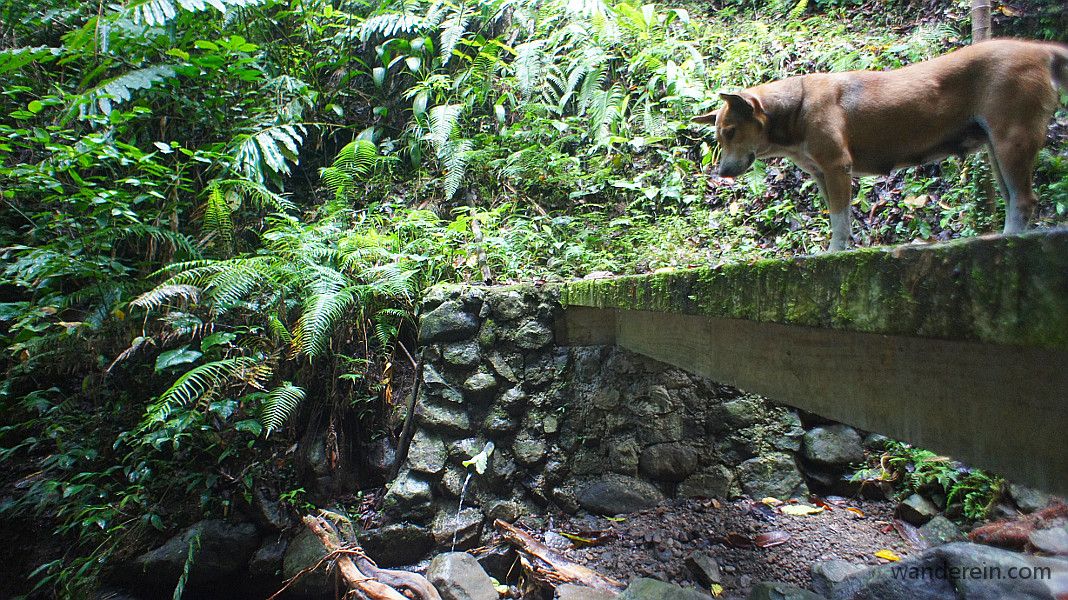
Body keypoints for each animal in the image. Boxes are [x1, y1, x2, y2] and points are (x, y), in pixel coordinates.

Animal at [692, 38, 1068, 249]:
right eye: (718, 136)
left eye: (730, 132)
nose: (721, 173)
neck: (795, 106)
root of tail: (1039, 49)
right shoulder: (822, 175)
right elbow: (838, 218)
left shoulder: (837, 168)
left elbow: (840, 223)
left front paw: (834, 253)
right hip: (996, 150)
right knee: (1014, 199)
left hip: (1012, 140)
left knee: (1025, 200)